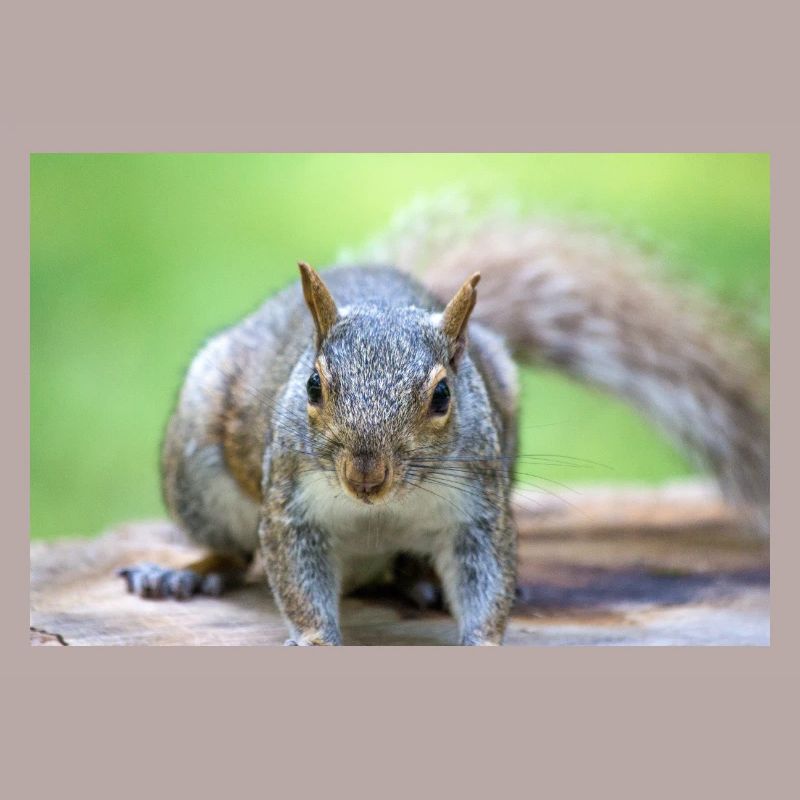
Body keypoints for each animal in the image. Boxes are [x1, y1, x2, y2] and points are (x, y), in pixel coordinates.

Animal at [117, 201, 770, 646]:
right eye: (312, 386)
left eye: (442, 395)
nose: (366, 476)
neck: (379, 511)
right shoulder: (290, 502)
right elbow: (294, 576)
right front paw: (314, 639)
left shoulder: (477, 509)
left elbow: (485, 576)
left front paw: (483, 636)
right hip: (198, 473)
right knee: (231, 552)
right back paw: (182, 576)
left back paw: (420, 580)